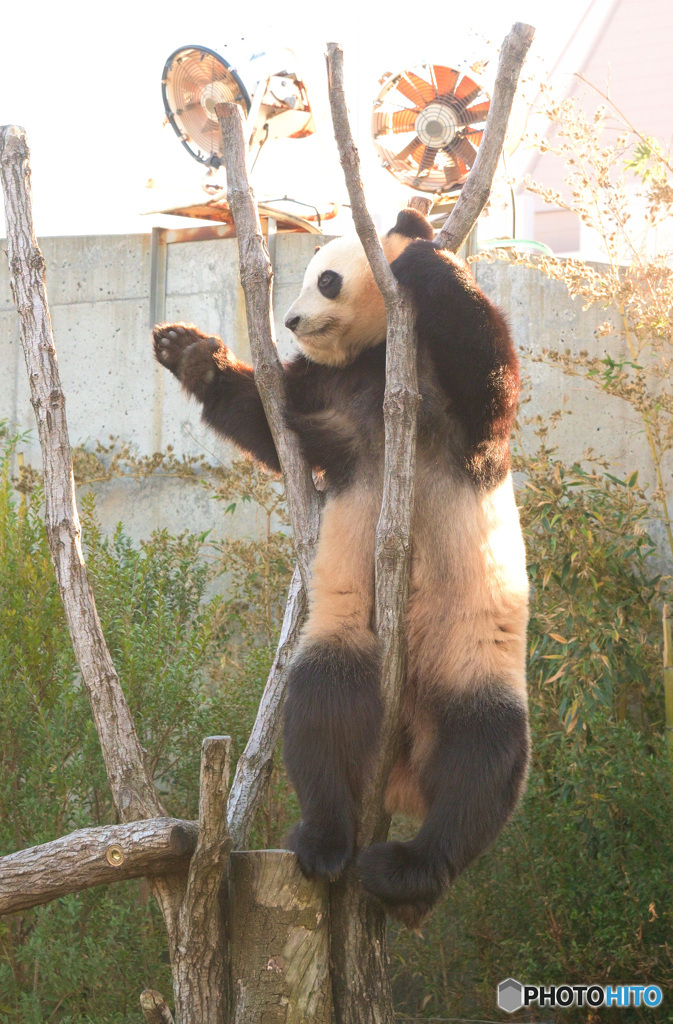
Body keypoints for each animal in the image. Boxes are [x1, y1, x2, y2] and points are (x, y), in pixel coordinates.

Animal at [152, 207, 528, 929]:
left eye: (326, 278)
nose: (293, 322)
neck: (377, 356)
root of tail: (403, 769)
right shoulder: (328, 399)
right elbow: (274, 429)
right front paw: (187, 352)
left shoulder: (461, 413)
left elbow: (490, 372)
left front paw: (426, 259)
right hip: (353, 635)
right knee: (323, 701)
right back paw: (325, 844)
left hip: (472, 653)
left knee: (483, 754)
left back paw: (409, 872)